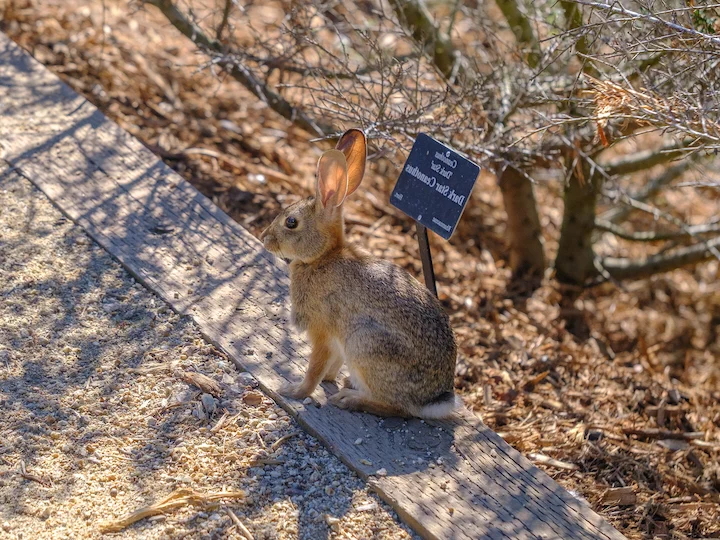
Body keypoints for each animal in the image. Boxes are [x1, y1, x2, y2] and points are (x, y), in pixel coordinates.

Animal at [260, 129, 461, 419]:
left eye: (291, 222)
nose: (264, 238)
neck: (323, 257)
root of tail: (433, 400)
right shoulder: (337, 341)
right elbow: (331, 365)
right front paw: (330, 379)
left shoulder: (323, 331)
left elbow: (314, 367)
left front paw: (295, 391)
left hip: (365, 342)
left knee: (398, 408)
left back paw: (350, 400)